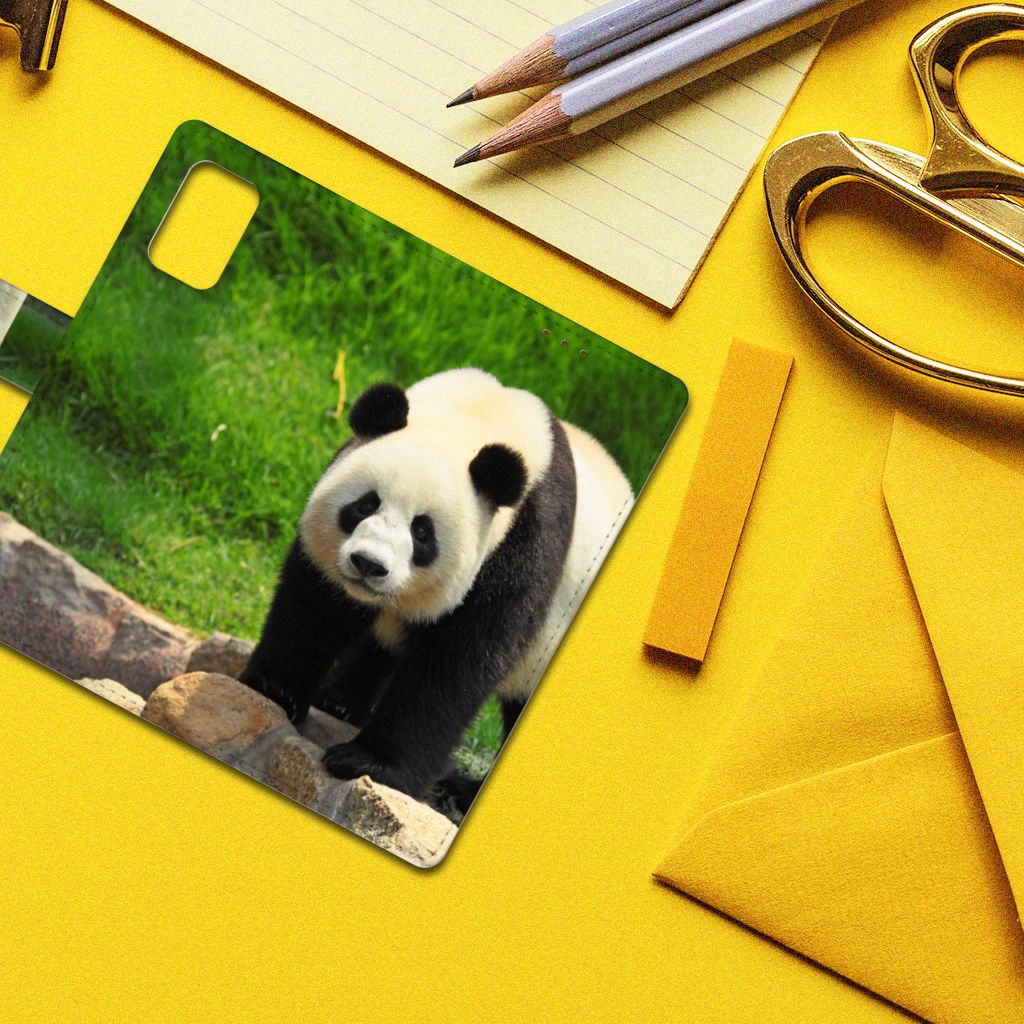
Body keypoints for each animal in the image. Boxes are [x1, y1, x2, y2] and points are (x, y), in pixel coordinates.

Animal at [240, 368, 633, 807]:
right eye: (365, 504)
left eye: (422, 531)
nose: (369, 564)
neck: (477, 417)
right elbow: (318, 605)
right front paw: (275, 688)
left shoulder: (525, 543)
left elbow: (458, 661)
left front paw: (369, 762)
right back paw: (340, 701)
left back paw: (460, 791)